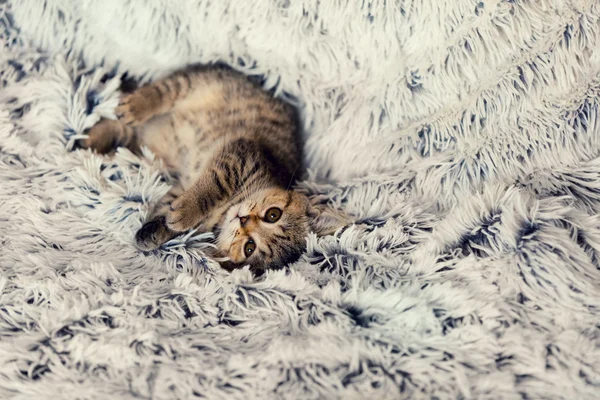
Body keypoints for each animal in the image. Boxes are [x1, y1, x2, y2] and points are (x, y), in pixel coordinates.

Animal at [80, 64, 352, 272]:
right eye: (273, 214)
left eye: (249, 247)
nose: (243, 220)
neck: (225, 210)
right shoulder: (240, 156)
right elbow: (214, 186)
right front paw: (186, 211)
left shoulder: (184, 184)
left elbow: (169, 206)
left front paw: (155, 230)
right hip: (199, 82)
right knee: (164, 91)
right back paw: (134, 107)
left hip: (145, 147)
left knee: (124, 132)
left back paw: (92, 142)